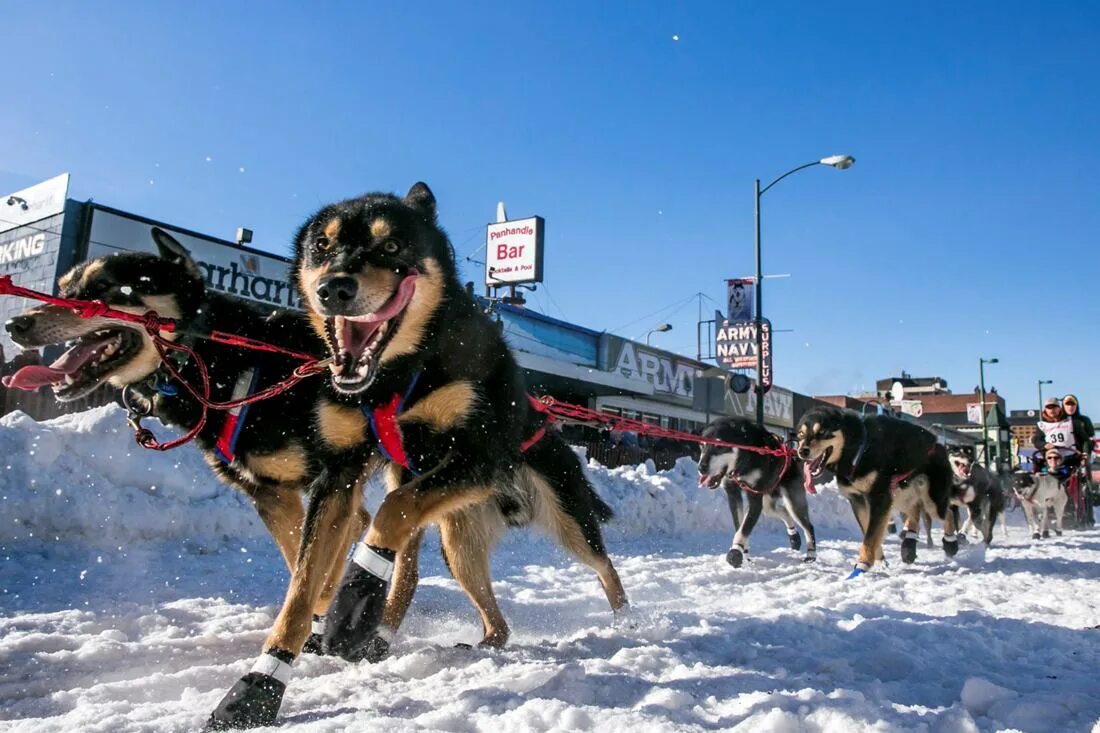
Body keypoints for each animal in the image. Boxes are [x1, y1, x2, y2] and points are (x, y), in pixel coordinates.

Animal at [695, 416, 818, 563]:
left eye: (719, 446)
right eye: (702, 446)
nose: (701, 468)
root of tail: (789, 452)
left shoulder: (754, 497)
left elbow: (744, 528)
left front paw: (735, 551)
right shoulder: (733, 495)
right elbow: (740, 525)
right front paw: (744, 551)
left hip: (793, 501)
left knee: (808, 525)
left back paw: (811, 554)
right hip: (767, 502)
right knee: (782, 510)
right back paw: (794, 538)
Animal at [796, 405, 959, 572]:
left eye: (822, 432)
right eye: (801, 434)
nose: (802, 451)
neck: (858, 451)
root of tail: (938, 444)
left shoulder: (880, 498)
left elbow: (871, 535)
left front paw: (863, 563)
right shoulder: (857, 500)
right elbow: (869, 531)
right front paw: (879, 560)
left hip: (933, 501)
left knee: (948, 512)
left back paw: (950, 543)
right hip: (901, 496)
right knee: (915, 512)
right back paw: (909, 546)